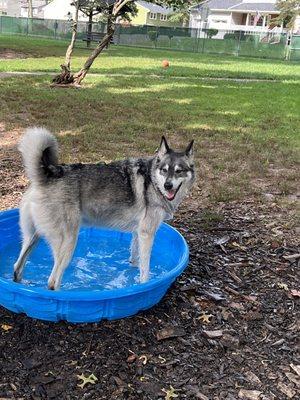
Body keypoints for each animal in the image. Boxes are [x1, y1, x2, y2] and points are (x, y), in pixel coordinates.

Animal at [13, 129, 195, 290]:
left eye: (179, 171)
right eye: (164, 170)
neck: (152, 181)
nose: (168, 186)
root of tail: (48, 174)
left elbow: (135, 260)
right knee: (52, 282)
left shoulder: (138, 233)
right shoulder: (147, 234)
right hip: (68, 242)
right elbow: (145, 270)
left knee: (17, 268)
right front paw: (145, 285)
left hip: (33, 238)